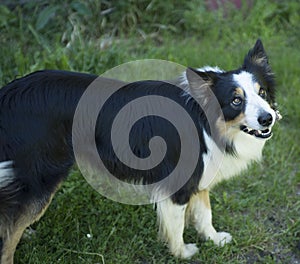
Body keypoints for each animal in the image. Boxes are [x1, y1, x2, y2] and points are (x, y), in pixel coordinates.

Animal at [0, 38, 282, 262]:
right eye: (236, 100)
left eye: (262, 92)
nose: (267, 118)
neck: (205, 119)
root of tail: (8, 94)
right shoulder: (178, 184)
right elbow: (177, 224)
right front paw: (182, 253)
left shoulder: (201, 175)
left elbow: (205, 214)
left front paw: (214, 239)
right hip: (41, 177)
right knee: (9, 236)